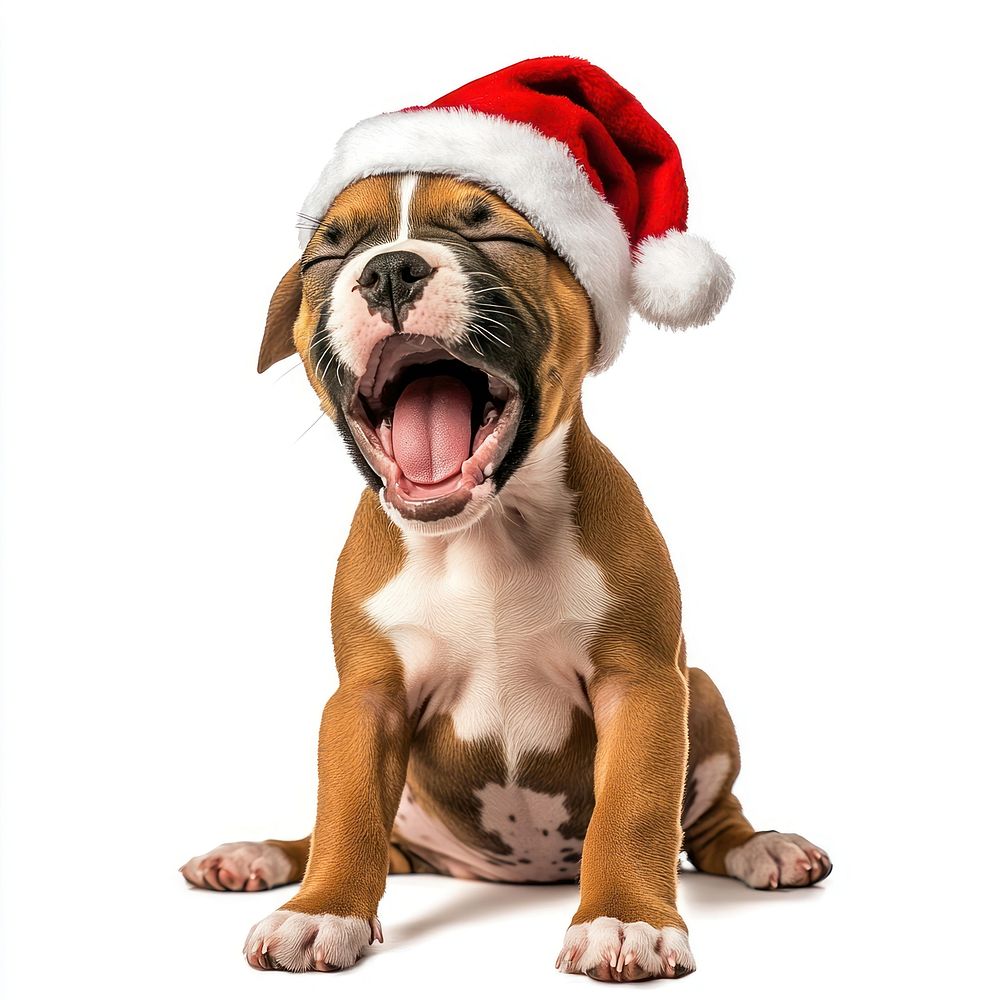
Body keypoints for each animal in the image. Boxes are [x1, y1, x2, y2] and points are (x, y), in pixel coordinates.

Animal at [182, 174, 836, 984]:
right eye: (329, 253)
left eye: (494, 233)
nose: (389, 270)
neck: (482, 533)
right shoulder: (366, 698)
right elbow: (344, 814)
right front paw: (321, 911)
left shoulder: (642, 682)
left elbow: (633, 810)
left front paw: (625, 921)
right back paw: (256, 856)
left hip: (702, 691)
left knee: (714, 826)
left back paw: (766, 847)